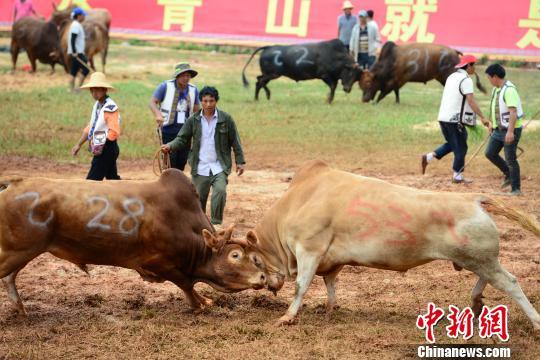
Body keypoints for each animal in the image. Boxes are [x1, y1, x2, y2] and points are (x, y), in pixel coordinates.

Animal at [0, 170, 266, 314]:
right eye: (235, 255)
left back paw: (21, 309)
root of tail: (14, 184)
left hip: (23, 251)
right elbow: (186, 285)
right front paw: (200, 303)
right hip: (17, 250)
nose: (263, 277)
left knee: (10, 278)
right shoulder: (159, 264)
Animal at [244, 160, 540, 330]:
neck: (300, 198)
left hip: (481, 259)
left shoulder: (309, 250)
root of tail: (473, 199)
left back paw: (535, 322)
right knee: (488, 279)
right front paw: (330, 309)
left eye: (255, 259)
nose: (266, 285)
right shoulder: (332, 261)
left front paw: (288, 316)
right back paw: (476, 302)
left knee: (510, 282)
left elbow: (301, 286)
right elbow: (330, 283)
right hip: (477, 260)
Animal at [360, 42, 488, 104]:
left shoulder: (395, 81)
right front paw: (397, 102)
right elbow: (396, 92)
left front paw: (376, 102)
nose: (364, 99)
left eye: (368, 83)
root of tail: (454, 51)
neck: (391, 59)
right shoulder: (397, 82)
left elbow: (383, 93)